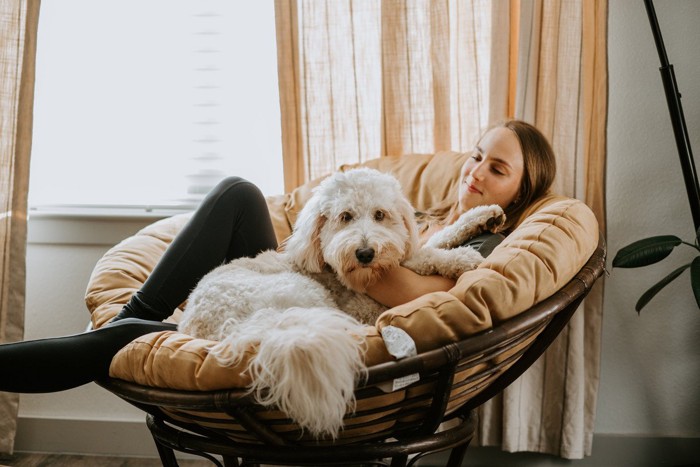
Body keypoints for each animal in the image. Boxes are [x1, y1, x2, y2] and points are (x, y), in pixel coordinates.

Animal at [176, 167, 504, 438]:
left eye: (380, 214)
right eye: (345, 216)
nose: (365, 253)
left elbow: (427, 243)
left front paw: (482, 216)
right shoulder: (366, 305)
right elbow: (423, 255)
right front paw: (461, 258)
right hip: (308, 297)